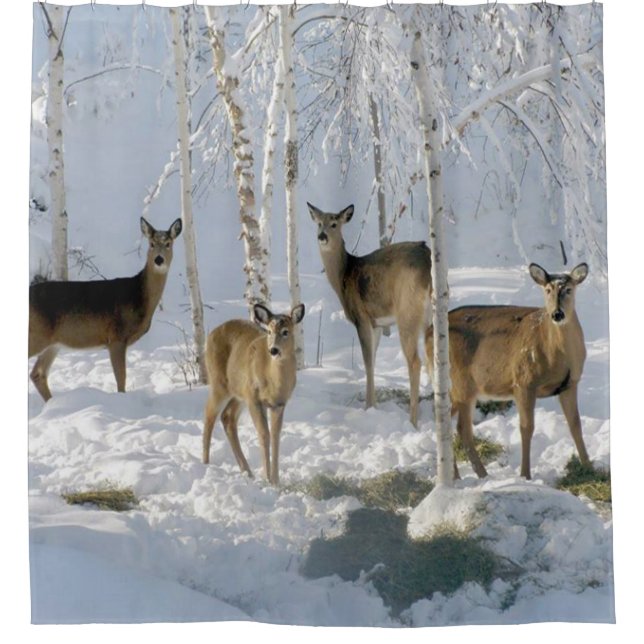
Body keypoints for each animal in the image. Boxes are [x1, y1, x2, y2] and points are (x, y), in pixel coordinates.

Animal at [28, 217, 182, 401]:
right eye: (151, 243)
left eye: (168, 243)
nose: (158, 260)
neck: (138, 296)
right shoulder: (116, 336)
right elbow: (121, 380)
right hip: (37, 334)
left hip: (53, 343)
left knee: (37, 374)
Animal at [202, 303, 305, 486]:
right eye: (269, 331)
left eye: (286, 331)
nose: (273, 350)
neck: (274, 384)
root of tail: (211, 334)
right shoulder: (254, 399)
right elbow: (264, 434)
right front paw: (267, 479)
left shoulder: (279, 404)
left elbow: (275, 436)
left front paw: (276, 481)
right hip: (220, 384)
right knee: (209, 415)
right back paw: (206, 463)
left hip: (239, 393)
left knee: (227, 417)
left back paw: (247, 471)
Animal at [308, 203, 432, 427]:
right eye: (319, 223)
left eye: (334, 224)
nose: (322, 236)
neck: (343, 276)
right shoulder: (377, 324)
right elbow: (373, 360)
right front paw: (374, 405)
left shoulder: (361, 317)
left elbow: (367, 362)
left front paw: (368, 407)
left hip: (407, 311)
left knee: (415, 361)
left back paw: (413, 421)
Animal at [425, 262, 592, 480]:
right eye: (547, 290)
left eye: (569, 290)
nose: (557, 314)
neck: (560, 356)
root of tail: (428, 333)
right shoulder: (523, 381)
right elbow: (526, 428)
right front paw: (525, 475)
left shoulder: (570, 384)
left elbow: (575, 425)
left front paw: (589, 467)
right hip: (460, 382)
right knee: (461, 427)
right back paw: (478, 475)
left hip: (458, 389)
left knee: (447, 421)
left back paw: (463, 475)